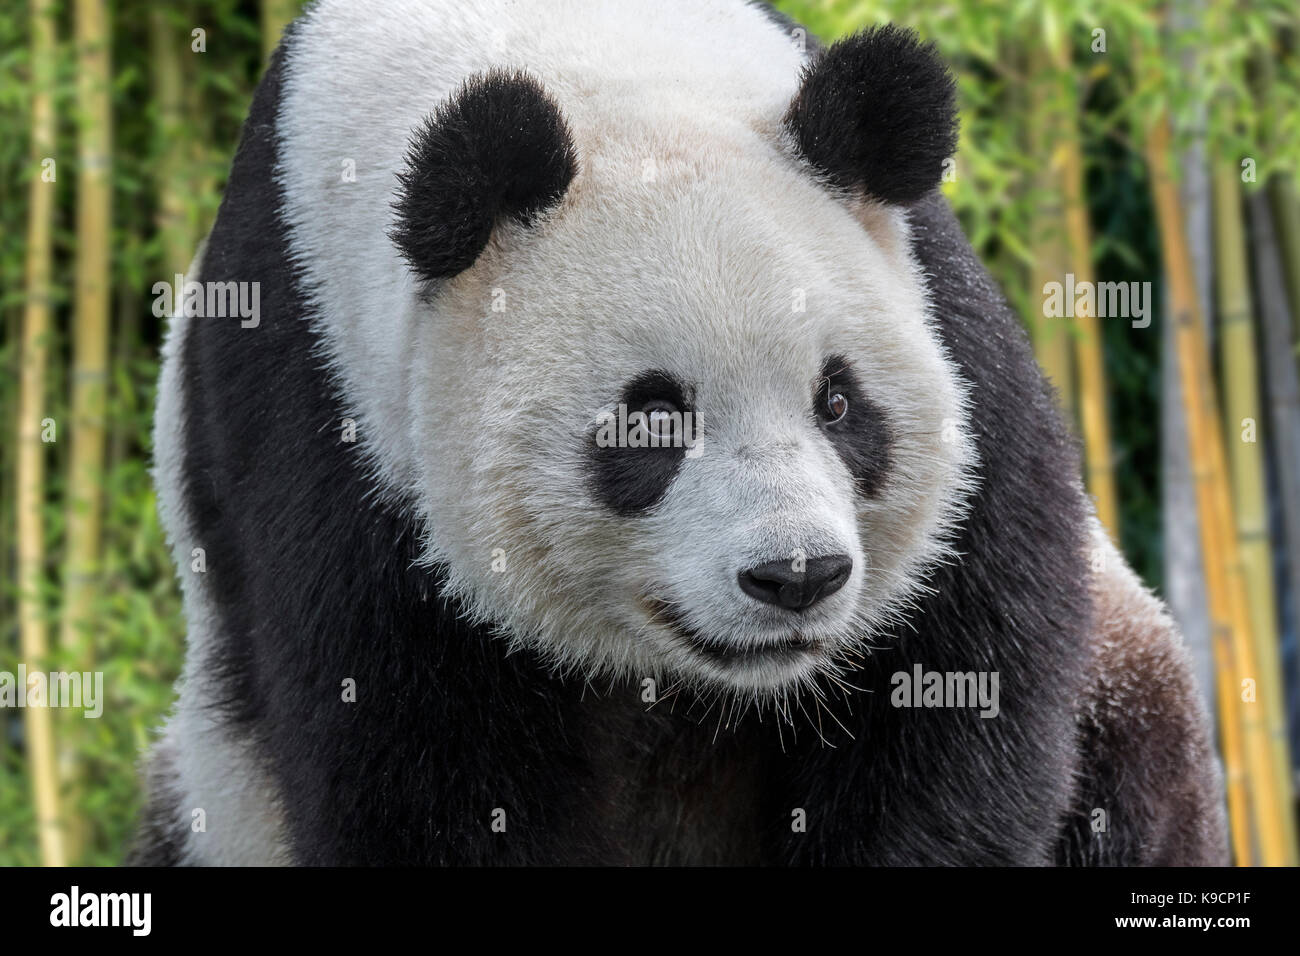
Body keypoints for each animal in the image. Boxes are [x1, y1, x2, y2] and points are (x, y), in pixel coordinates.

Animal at [132, 0, 1228, 865]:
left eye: (839, 403)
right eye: (652, 419)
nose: (796, 576)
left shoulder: (948, 340)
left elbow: (961, 686)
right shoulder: (328, 422)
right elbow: (412, 761)